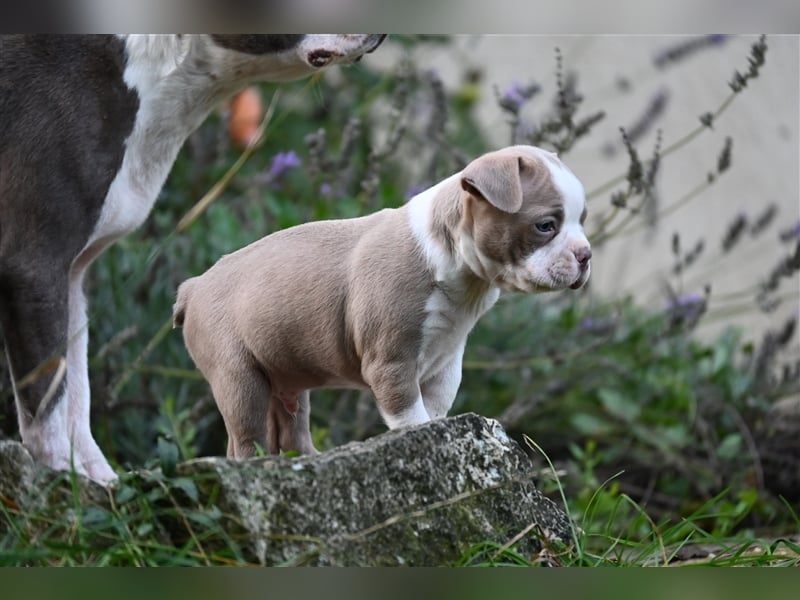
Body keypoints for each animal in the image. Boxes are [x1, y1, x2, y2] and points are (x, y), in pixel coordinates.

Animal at [0, 31, 388, 482]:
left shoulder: (73, 276)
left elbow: (76, 390)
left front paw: (98, 482)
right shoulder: (33, 264)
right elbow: (47, 402)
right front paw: (62, 482)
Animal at [172, 145, 592, 454]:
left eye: (582, 221)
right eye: (545, 226)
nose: (586, 254)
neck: (459, 269)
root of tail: (192, 286)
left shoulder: (446, 361)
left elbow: (435, 408)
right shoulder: (391, 363)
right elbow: (411, 416)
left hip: (282, 377)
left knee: (289, 430)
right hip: (238, 377)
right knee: (246, 439)